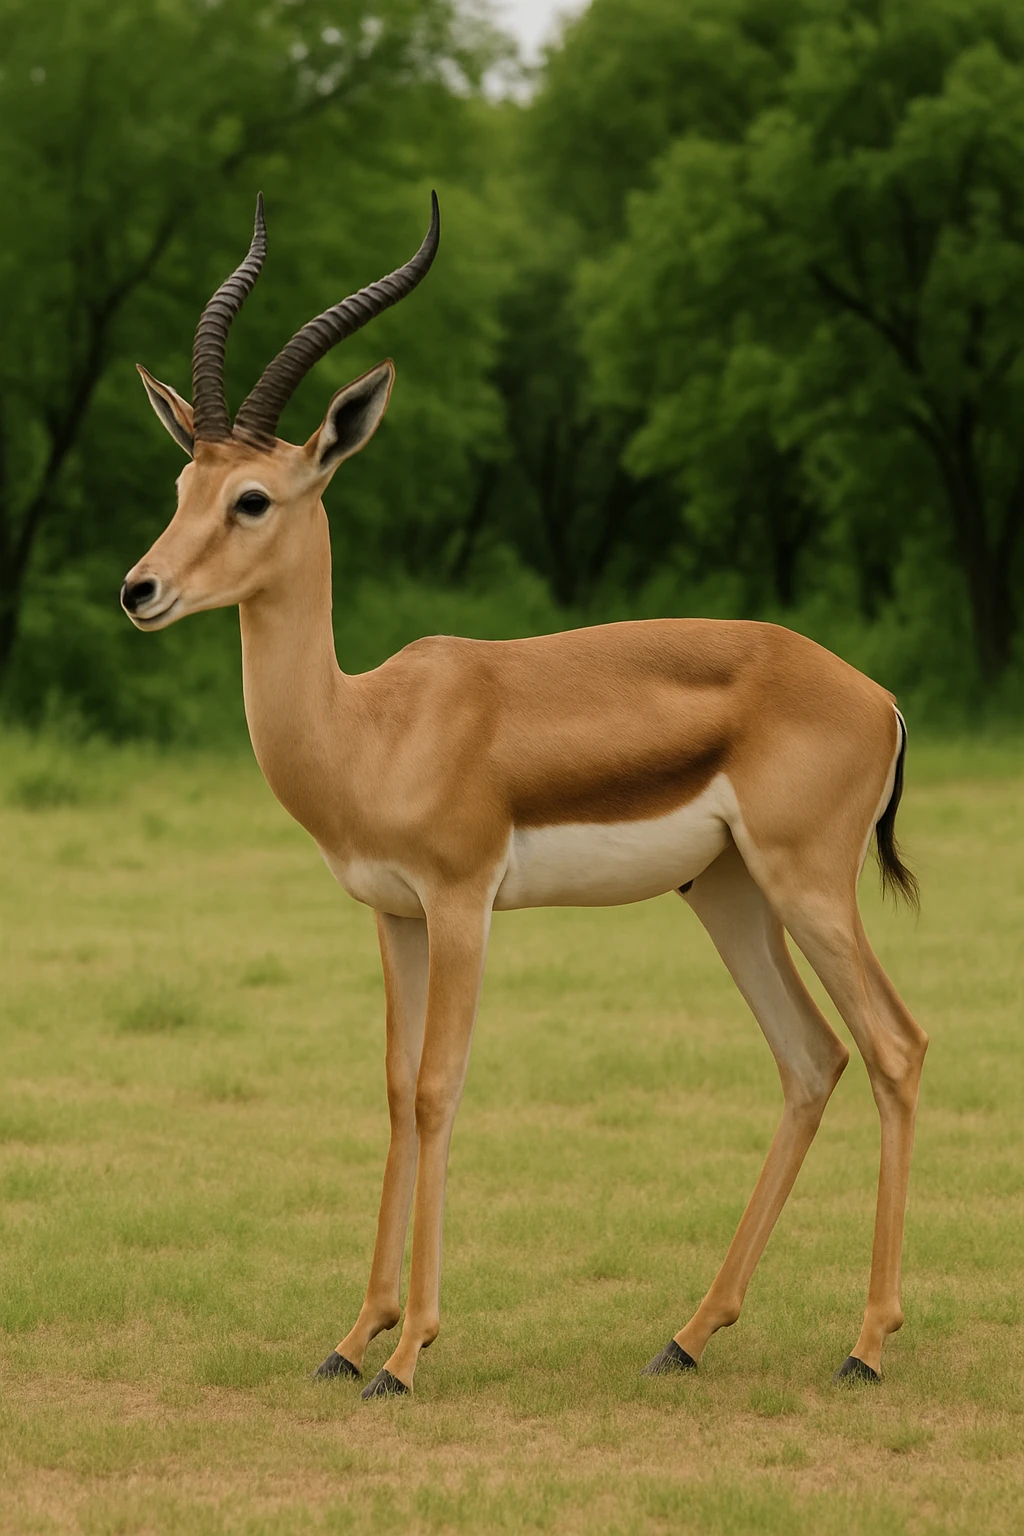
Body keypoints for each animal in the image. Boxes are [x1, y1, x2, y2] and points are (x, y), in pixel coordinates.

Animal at [122, 192, 927, 1399]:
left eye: (252, 497)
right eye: (184, 487)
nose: (142, 590)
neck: (372, 727)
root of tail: (876, 695)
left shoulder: (462, 904)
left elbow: (438, 1088)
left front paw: (407, 1354)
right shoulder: (394, 918)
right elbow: (392, 1091)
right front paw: (350, 1339)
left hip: (807, 888)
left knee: (893, 1047)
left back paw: (865, 1347)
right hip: (728, 894)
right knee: (810, 1058)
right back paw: (687, 1337)